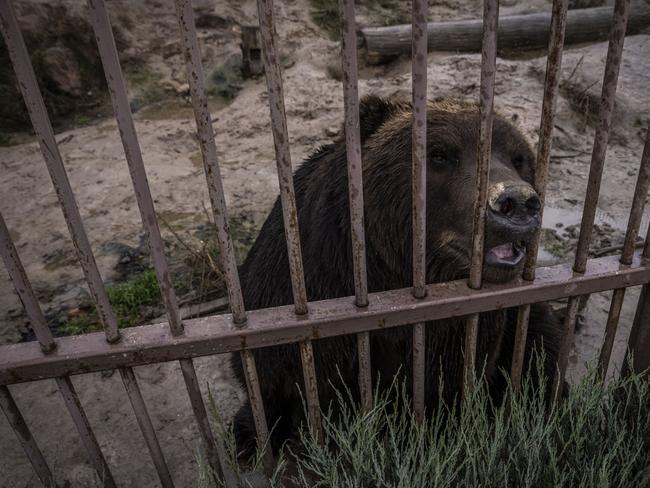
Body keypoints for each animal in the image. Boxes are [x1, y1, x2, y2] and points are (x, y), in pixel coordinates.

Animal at [230, 96, 560, 458]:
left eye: (518, 158)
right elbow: (276, 378)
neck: (392, 276)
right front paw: (254, 436)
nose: (516, 201)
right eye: (439, 155)